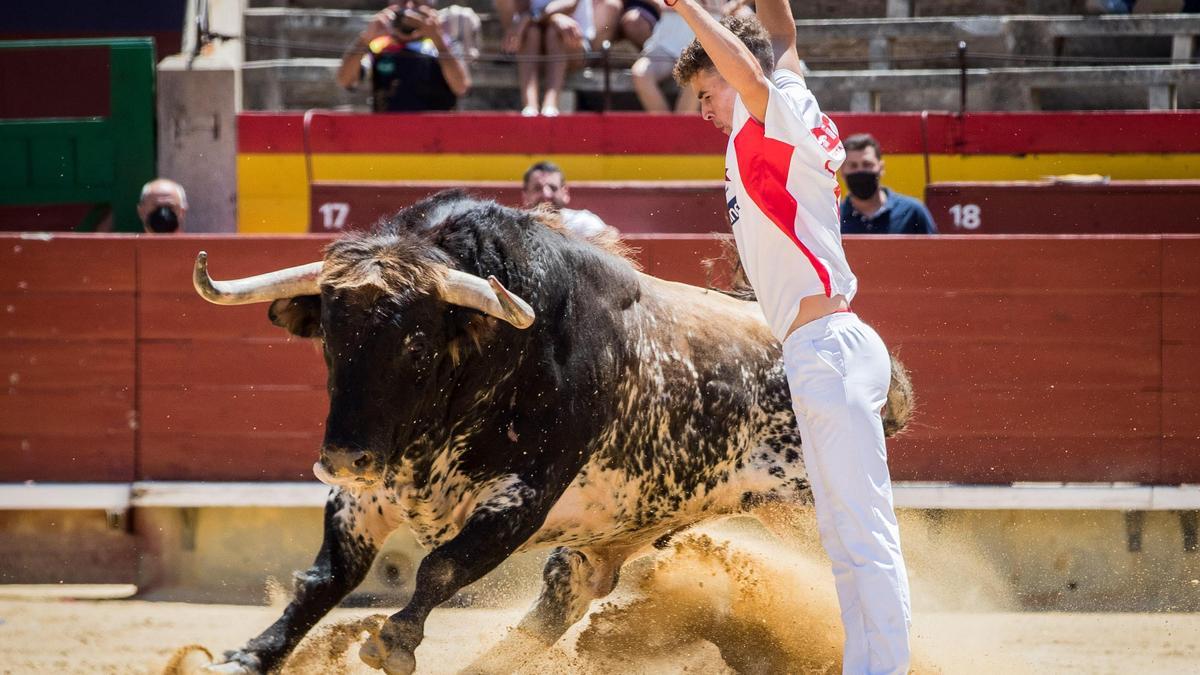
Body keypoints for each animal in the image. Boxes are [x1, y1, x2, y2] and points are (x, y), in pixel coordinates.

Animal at [196, 190, 907, 672]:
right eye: (330, 341)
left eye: (417, 345)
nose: (343, 456)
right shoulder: (367, 495)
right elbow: (325, 577)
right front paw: (248, 656)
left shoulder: (522, 499)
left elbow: (442, 568)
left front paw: (393, 638)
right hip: (616, 531)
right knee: (567, 593)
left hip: (804, 507)